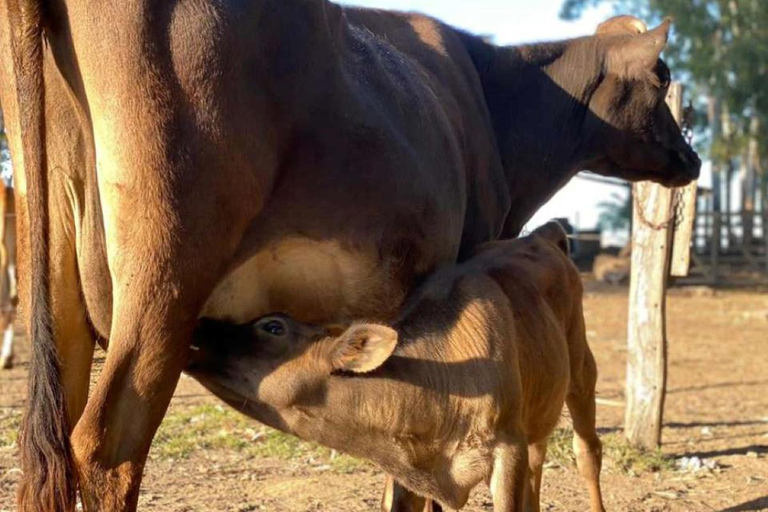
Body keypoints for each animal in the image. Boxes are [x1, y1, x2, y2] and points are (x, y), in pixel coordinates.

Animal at [190, 223, 608, 512]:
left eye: (273, 326)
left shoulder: (508, 447)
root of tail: (543, 233)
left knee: (587, 451)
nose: (199, 325)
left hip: (582, 368)